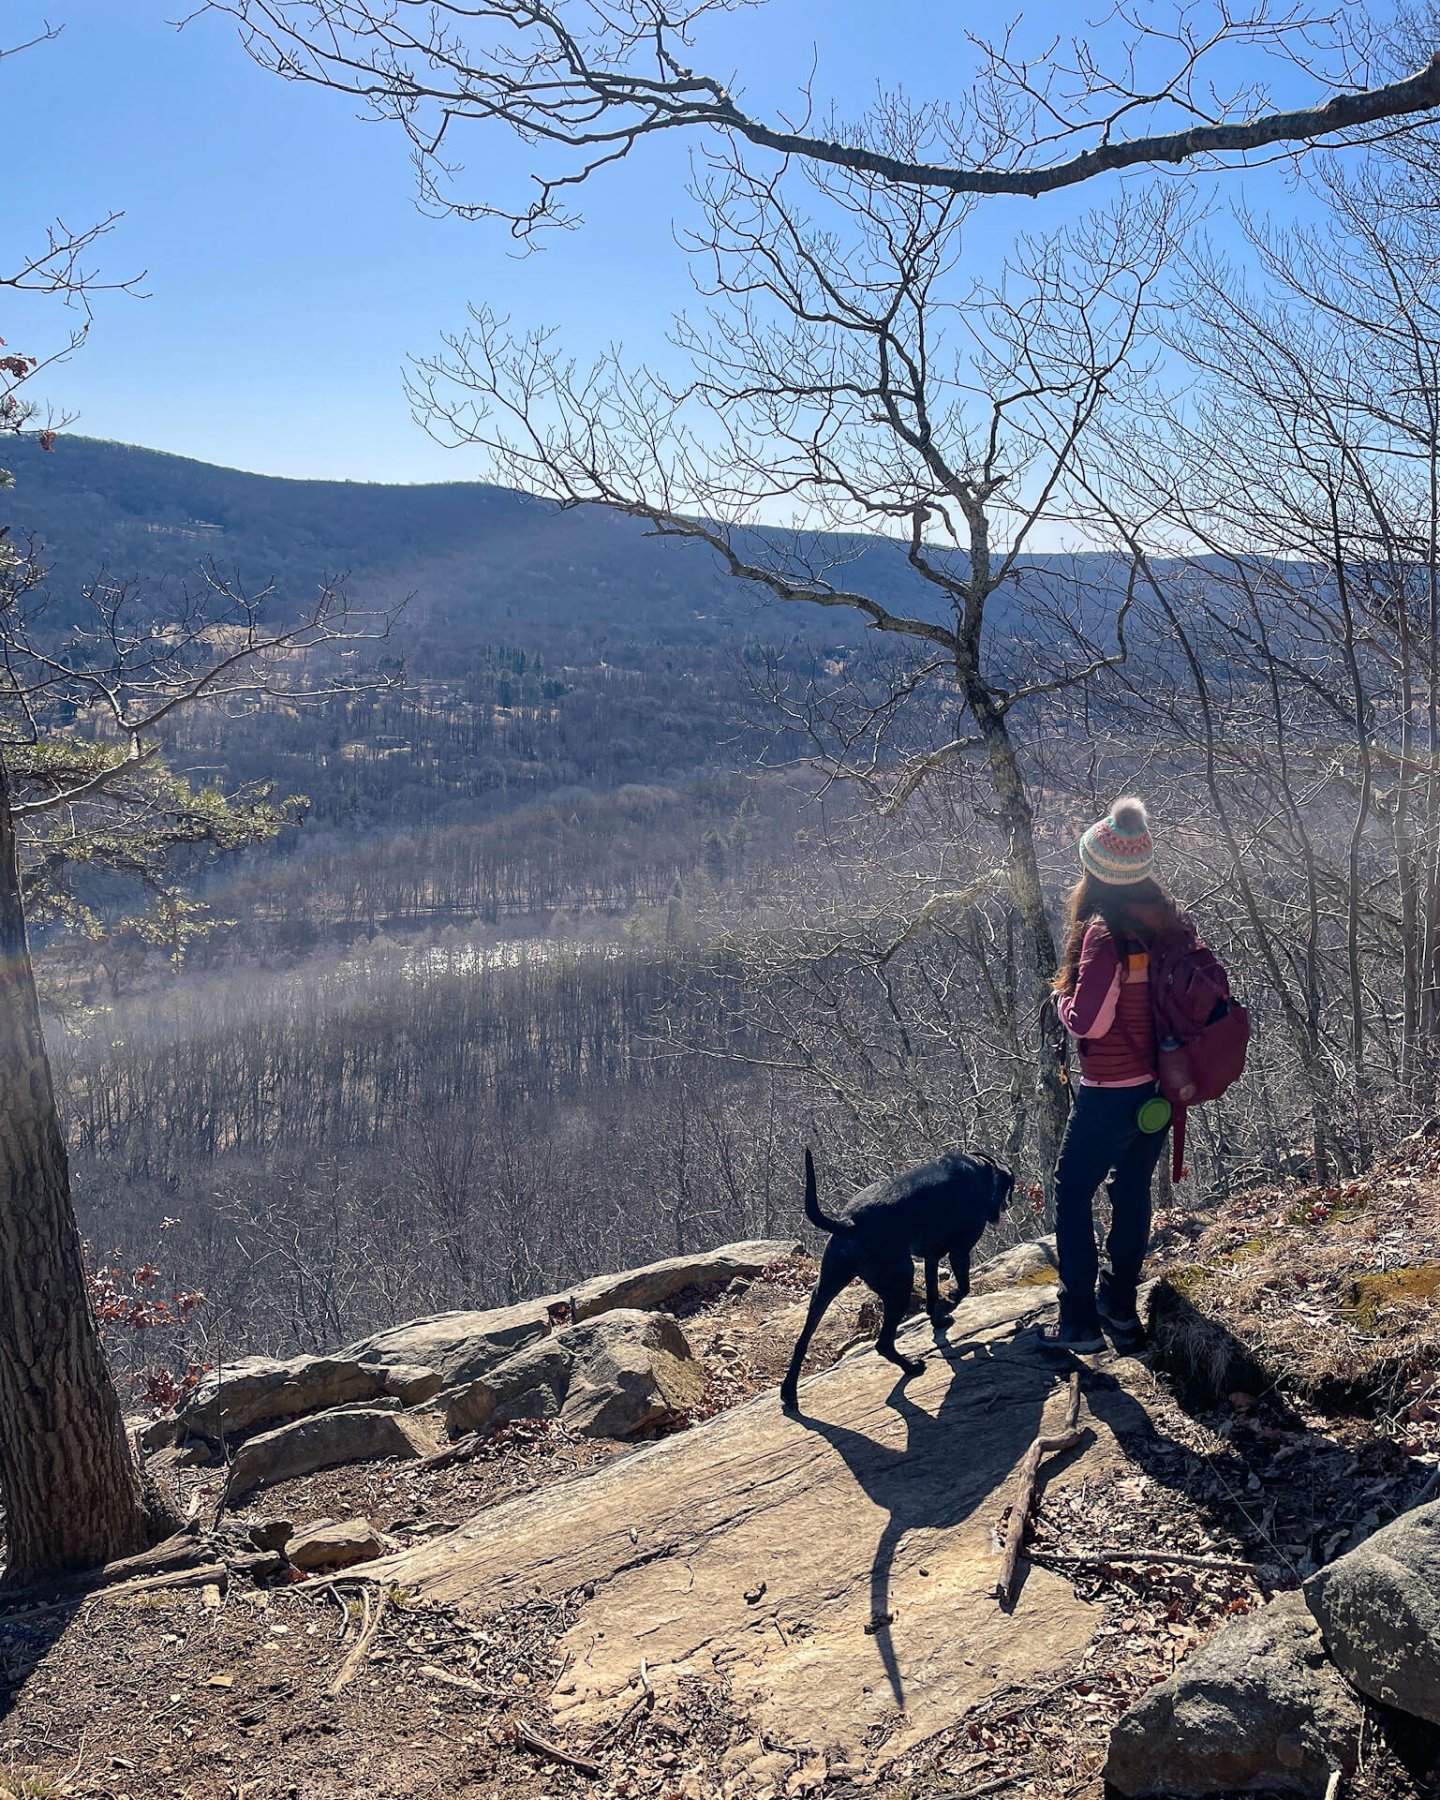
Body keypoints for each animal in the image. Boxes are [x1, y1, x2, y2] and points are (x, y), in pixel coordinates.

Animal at [777, 1144, 1015, 1411]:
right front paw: (951, 1302)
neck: (981, 1168)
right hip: (901, 1282)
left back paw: (789, 1393)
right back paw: (911, 1368)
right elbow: (963, 1288)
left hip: (824, 1289)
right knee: (883, 1343)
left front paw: (939, 1319)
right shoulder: (959, 1251)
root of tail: (848, 1224)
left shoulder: (932, 1255)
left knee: (802, 1341)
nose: (1006, 1207)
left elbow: (932, 1292)